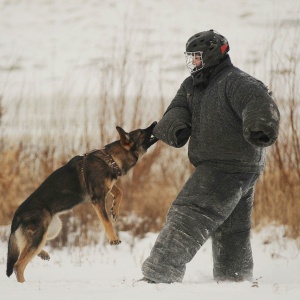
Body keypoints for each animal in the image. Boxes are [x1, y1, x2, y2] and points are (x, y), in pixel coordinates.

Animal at [6, 121, 157, 282]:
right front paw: (113, 238)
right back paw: (24, 284)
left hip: (52, 229)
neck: (111, 159)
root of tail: (17, 214)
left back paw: (43, 254)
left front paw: (115, 209)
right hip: (40, 234)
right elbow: (106, 221)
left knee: (28, 250)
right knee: (18, 265)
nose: (155, 122)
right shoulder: (97, 199)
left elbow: (119, 192)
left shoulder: (107, 188)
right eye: (141, 132)